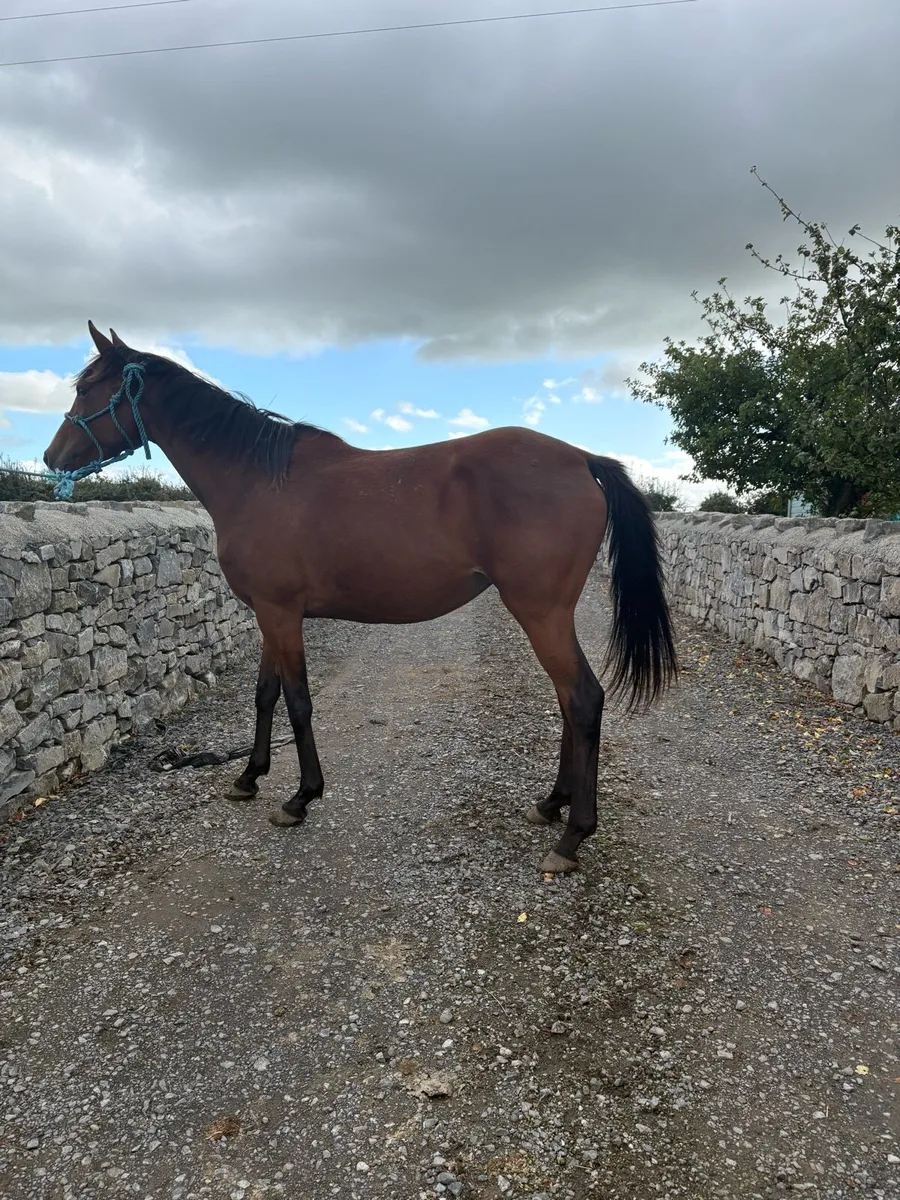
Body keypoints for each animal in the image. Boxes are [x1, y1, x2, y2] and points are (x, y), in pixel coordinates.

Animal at [43, 322, 676, 874]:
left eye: (86, 388)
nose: (51, 458)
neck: (257, 481)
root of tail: (582, 459)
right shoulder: (271, 614)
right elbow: (265, 695)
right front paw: (249, 777)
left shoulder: (281, 614)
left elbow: (298, 702)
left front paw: (301, 797)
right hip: (545, 615)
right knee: (570, 703)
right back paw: (551, 805)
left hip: (541, 612)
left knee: (583, 700)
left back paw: (572, 836)